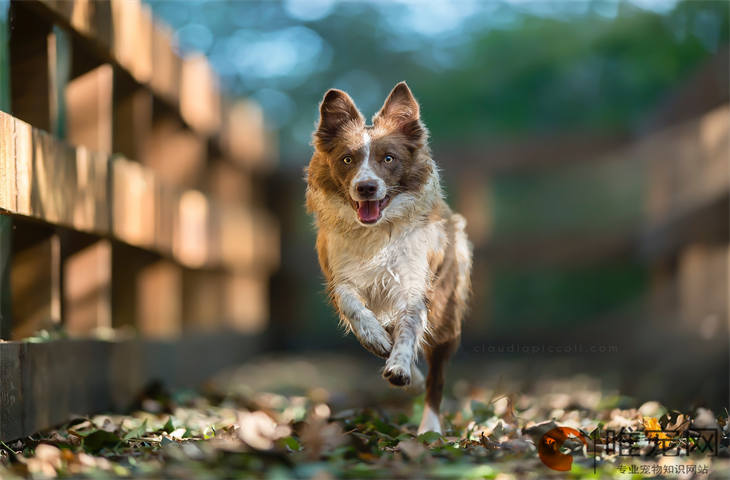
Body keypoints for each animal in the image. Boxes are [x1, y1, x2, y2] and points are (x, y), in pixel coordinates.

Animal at [302, 82, 470, 436]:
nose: (366, 187)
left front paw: (399, 366)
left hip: (446, 313)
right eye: (347, 159)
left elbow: (407, 331)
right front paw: (375, 337)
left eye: (388, 158)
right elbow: (353, 304)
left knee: (436, 378)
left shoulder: (414, 285)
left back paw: (430, 426)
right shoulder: (339, 276)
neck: (377, 233)